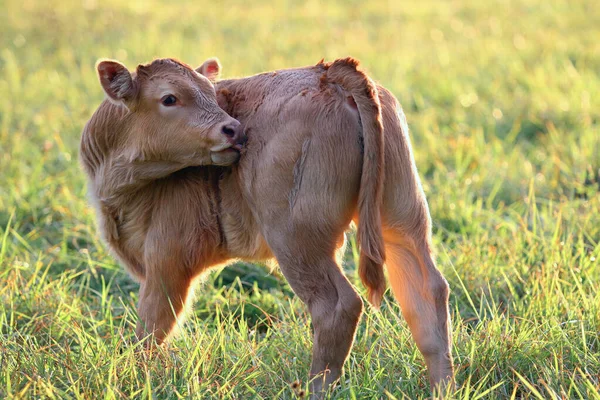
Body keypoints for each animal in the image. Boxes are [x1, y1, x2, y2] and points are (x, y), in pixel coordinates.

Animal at [81, 56, 454, 396]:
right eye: (169, 98)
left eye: (211, 94)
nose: (233, 129)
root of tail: (331, 72)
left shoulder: (166, 260)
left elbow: (150, 330)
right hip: (402, 214)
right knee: (425, 291)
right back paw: (443, 387)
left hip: (295, 237)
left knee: (338, 306)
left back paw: (315, 388)